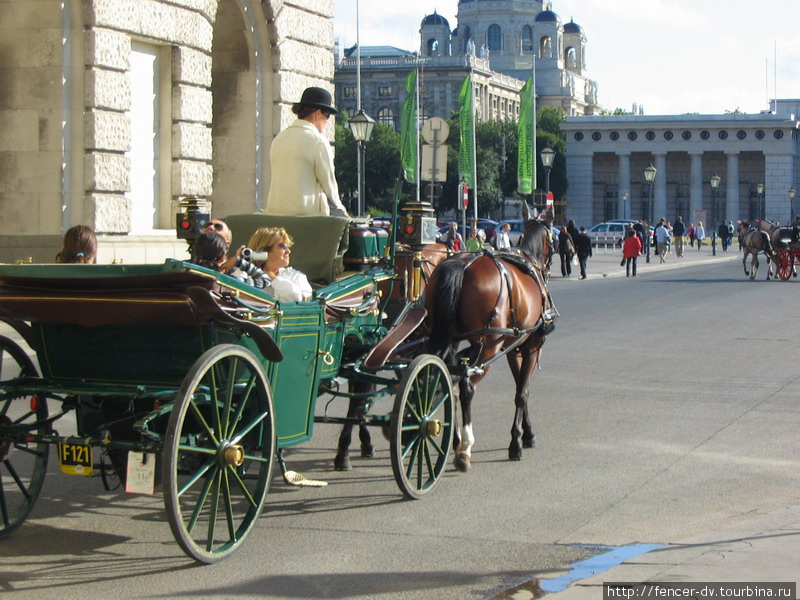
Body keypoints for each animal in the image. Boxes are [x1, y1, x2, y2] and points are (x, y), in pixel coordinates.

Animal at [424, 209, 556, 472]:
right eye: (553, 238)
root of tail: (461, 265)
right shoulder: (532, 347)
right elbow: (523, 392)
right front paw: (517, 442)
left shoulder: (515, 348)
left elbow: (520, 387)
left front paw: (526, 433)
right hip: (488, 346)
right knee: (466, 387)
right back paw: (465, 448)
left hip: (452, 340)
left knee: (447, 381)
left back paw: (453, 440)